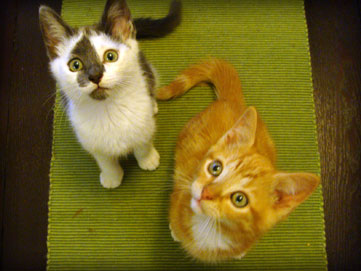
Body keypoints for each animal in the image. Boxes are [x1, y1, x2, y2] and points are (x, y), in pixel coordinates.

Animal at [40, 0, 180, 188]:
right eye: (75, 65)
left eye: (111, 56)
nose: (95, 75)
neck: (108, 109)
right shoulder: (91, 141)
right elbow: (105, 160)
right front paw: (112, 177)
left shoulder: (144, 124)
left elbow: (143, 144)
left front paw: (148, 159)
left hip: (145, 67)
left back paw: (154, 104)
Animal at [156, 59, 320, 264]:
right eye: (215, 168)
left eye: (239, 199)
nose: (205, 192)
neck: (211, 229)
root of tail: (234, 102)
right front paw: (175, 231)